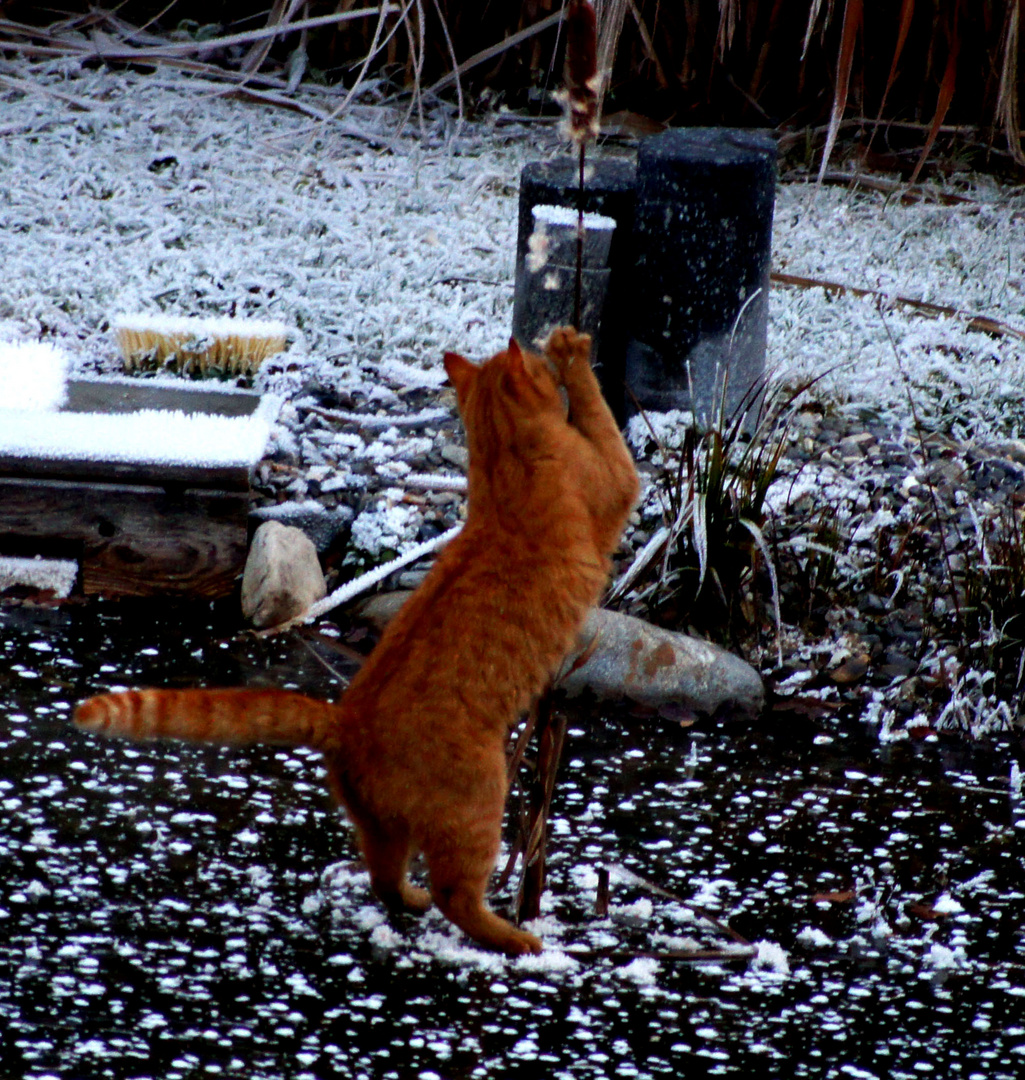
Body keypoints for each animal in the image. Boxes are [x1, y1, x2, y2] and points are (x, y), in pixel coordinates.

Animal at [77, 328, 639, 954]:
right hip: (480, 802)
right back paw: (518, 939)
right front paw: (572, 352)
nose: (546, 350)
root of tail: (346, 720)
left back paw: (415, 901)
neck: (499, 471)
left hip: (382, 828)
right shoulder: (617, 479)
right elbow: (600, 413)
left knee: (385, 880)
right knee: (456, 896)